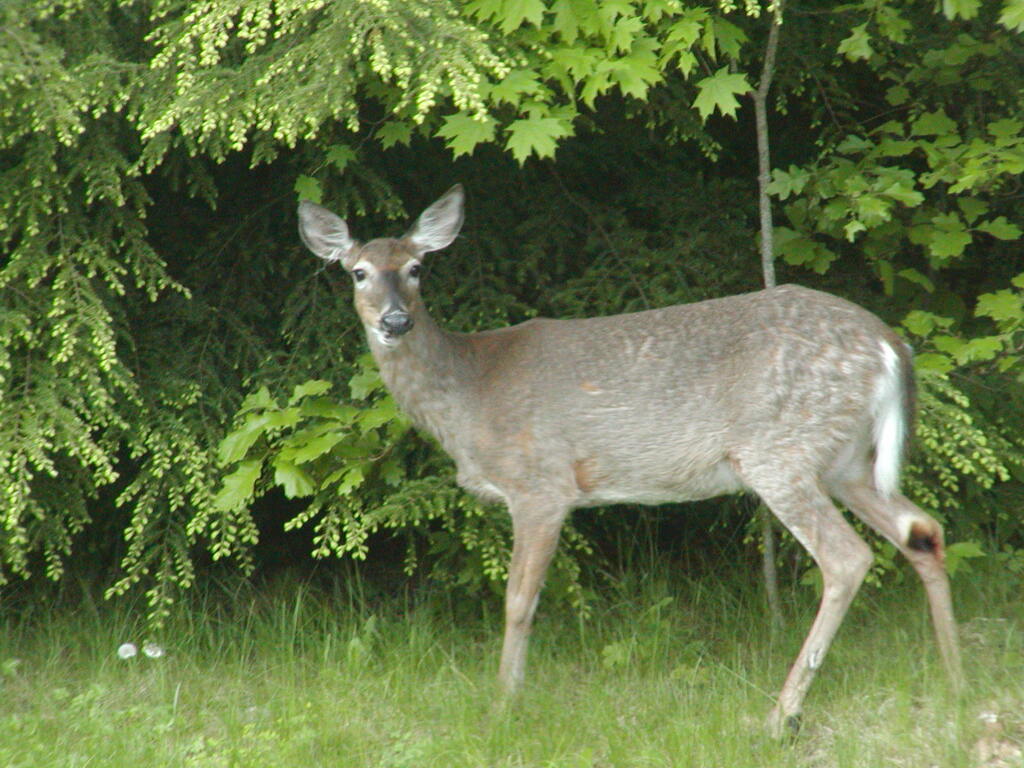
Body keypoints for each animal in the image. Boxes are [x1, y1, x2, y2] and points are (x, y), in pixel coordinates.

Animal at [297, 184, 962, 737]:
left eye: (416, 268)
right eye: (357, 272)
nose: (395, 320)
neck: (469, 394)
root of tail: (890, 345)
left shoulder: (541, 484)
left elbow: (518, 601)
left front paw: (504, 705)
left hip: (780, 450)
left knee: (848, 558)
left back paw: (780, 716)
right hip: (848, 462)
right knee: (923, 529)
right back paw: (954, 673)